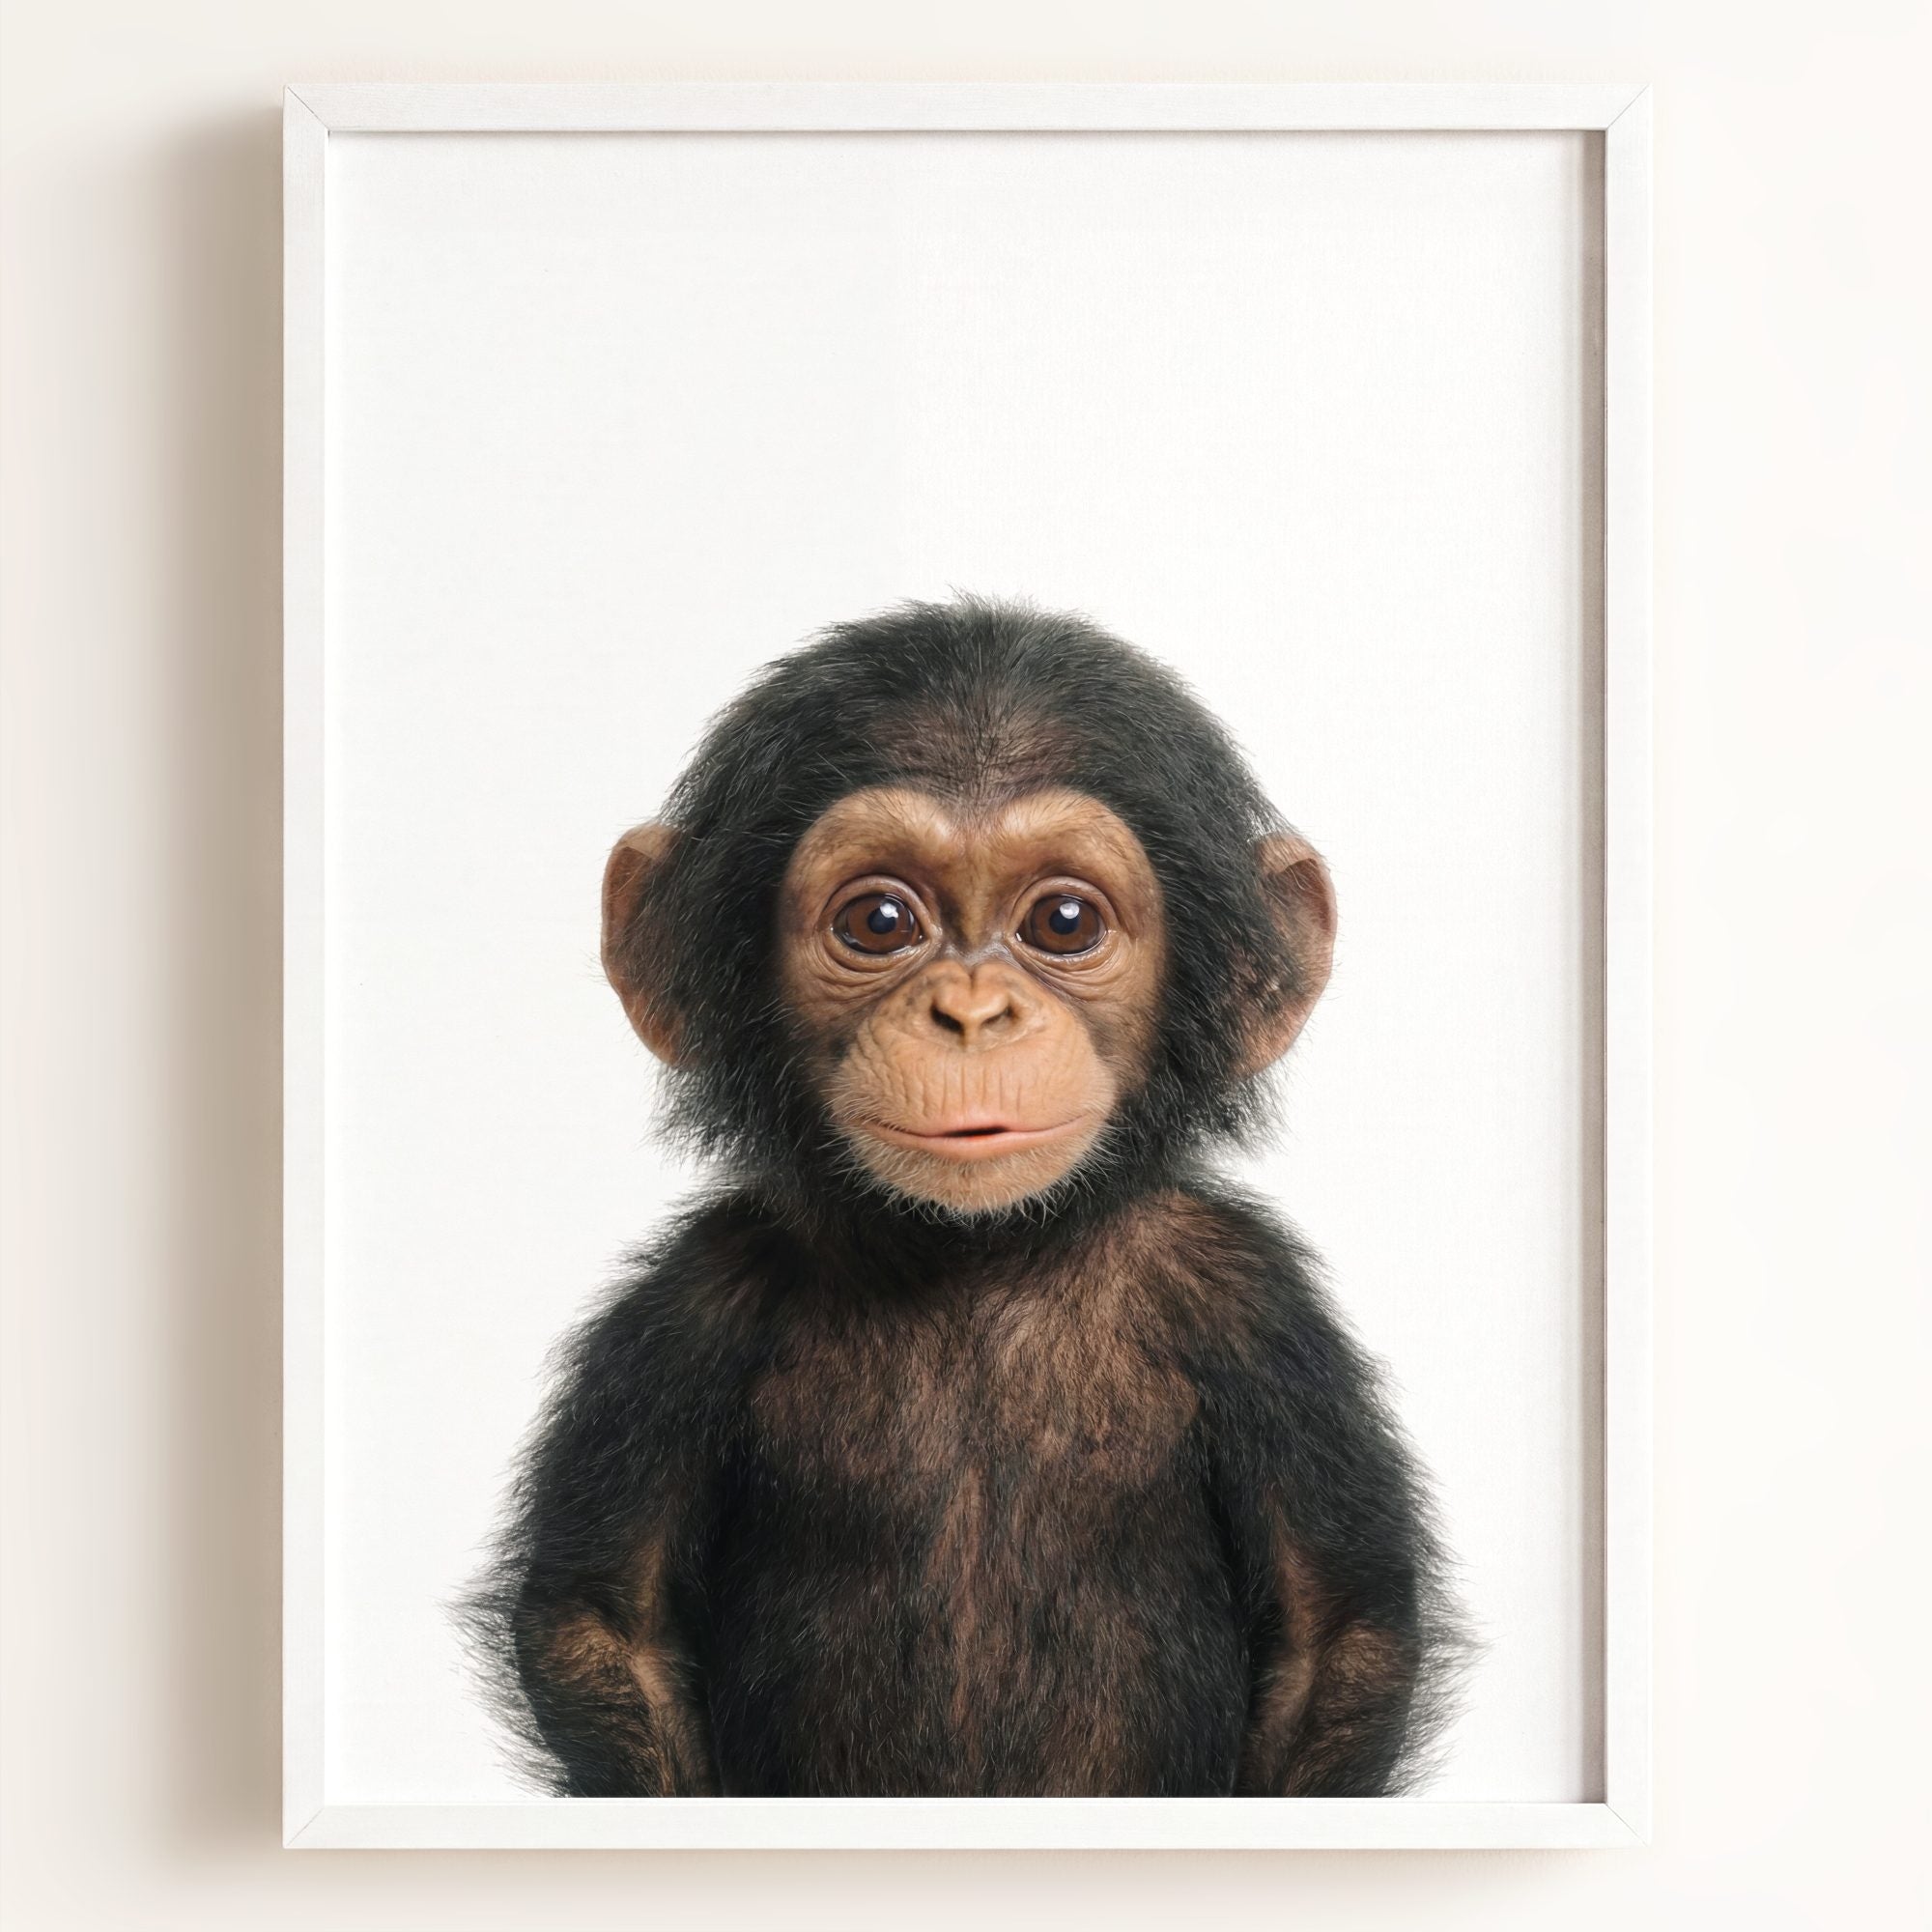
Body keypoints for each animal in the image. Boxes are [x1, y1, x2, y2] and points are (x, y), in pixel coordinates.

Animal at [463, 596, 1466, 1798]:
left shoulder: (1255, 1306)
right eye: (880, 921)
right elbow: (606, 1622)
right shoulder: (687, 1308)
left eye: (1064, 921)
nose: (973, 1012)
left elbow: (1335, 1634)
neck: (974, 1253)